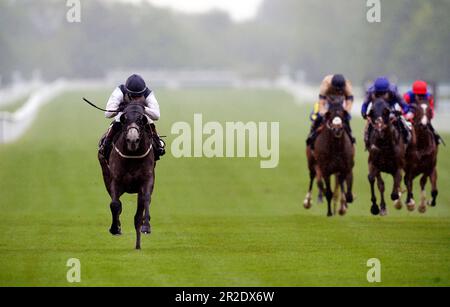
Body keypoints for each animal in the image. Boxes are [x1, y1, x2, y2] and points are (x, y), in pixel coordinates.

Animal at [97, 101, 156, 250]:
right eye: (125, 119)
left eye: (141, 120)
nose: (132, 139)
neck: (132, 156)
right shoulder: (115, 180)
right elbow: (114, 204)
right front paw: (115, 228)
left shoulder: (147, 179)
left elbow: (146, 200)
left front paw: (146, 226)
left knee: (137, 215)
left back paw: (138, 245)